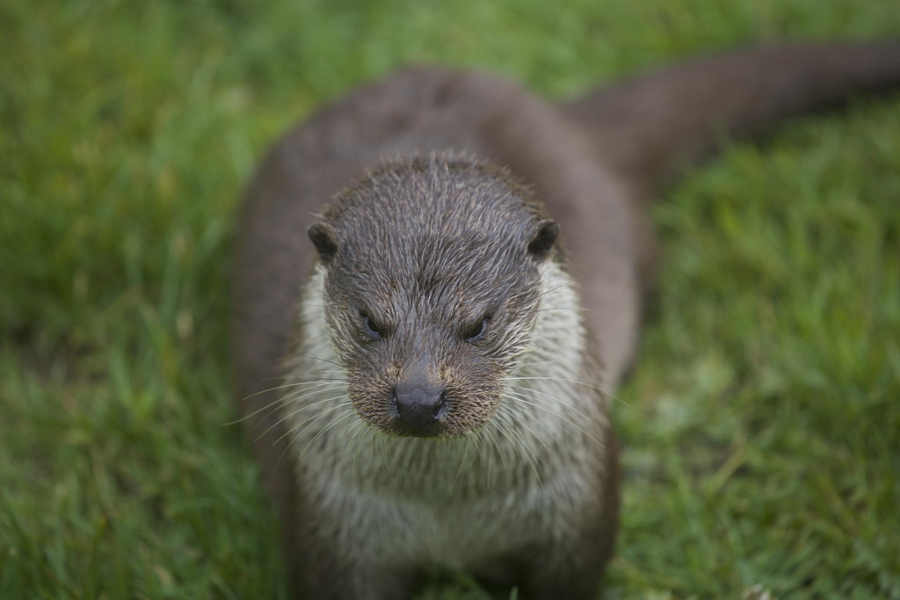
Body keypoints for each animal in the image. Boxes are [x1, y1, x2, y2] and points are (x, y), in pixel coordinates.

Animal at [232, 44, 900, 596]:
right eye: (371, 320)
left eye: (478, 323)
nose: (418, 398)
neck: (450, 516)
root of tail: (558, 118)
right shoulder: (329, 532)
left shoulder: (580, 511)